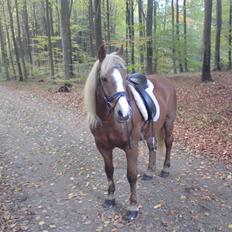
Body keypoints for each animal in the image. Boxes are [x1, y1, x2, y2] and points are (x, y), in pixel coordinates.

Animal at [84, 44, 177, 221]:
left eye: (124, 77)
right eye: (104, 79)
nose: (124, 113)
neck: (109, 120)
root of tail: (166, 82)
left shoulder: (131, 147)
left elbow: (131, 175)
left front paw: (132, 207)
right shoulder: (103, 147)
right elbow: (109, 170)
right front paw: (110, 198)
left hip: (169, 123)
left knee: (168, 143)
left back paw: (165, 169)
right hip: (150, 130)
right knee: (152, 148)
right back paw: (149, 172)